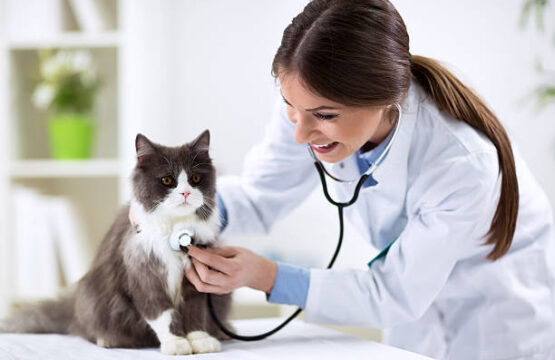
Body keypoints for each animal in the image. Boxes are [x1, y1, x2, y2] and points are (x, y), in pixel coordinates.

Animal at [0, 129, 233, 354]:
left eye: (195, 178)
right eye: (167, 180)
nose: (185, 192)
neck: (176, 231)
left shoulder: (197, 282)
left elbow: (196, 312)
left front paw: (200, 340)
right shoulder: (145, 277)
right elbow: (163, 313)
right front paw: (176, 342)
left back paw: (222, 332)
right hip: (96, 300)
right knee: (87, 329)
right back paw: (106, 340)